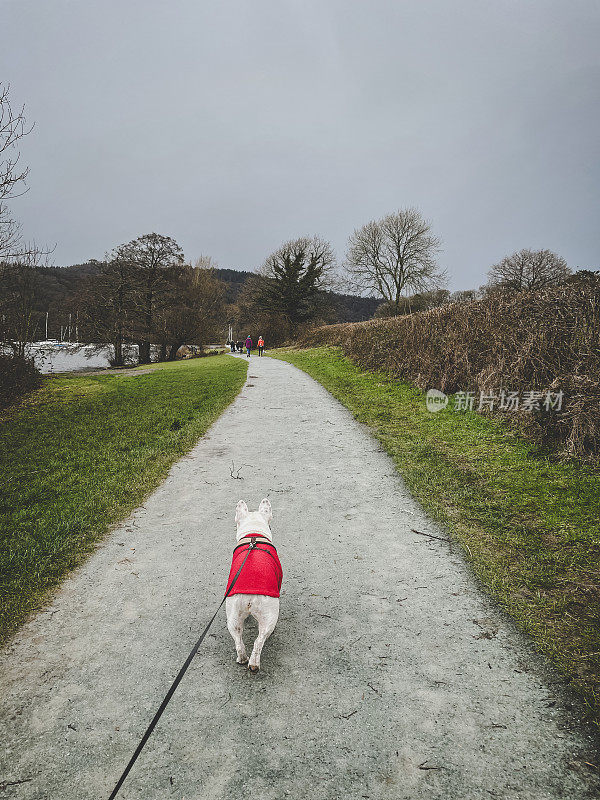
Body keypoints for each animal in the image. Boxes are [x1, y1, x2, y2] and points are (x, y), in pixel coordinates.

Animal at [224, 496, 282, 672]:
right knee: (259, 640)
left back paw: (242, 659)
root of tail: (250, 598)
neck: (253, 534)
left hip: (233, 615)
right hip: (269, 614)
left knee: (238, 640)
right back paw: (254, 664)